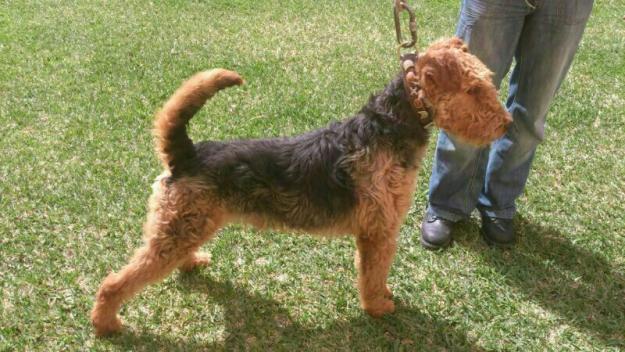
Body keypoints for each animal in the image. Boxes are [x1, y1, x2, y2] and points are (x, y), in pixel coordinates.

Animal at [91, 37, 512, 336]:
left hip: (189, 224)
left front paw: (383, 298)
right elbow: (373, 274)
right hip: (176, 228)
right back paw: (107, 323)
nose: (506, 123)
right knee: (114, 281)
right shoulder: (378, 230)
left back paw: (192, 262)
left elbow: (376, 273)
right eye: (474, 89)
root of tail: (186, 155)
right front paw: (378, 307)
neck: (388, 126)